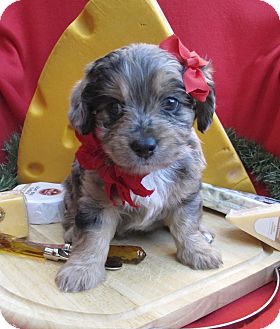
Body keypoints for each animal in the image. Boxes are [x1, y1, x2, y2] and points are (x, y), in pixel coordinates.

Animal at [55, 41, 222, 292]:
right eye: (114, 106)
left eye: (171, 102)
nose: (144, 146)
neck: (148, 174)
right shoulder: (96, 202)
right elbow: (92, 238)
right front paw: (81, 270)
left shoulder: (187, 194)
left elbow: (187, 225)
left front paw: (199, 252)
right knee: (71, 214)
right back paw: (71, 232)